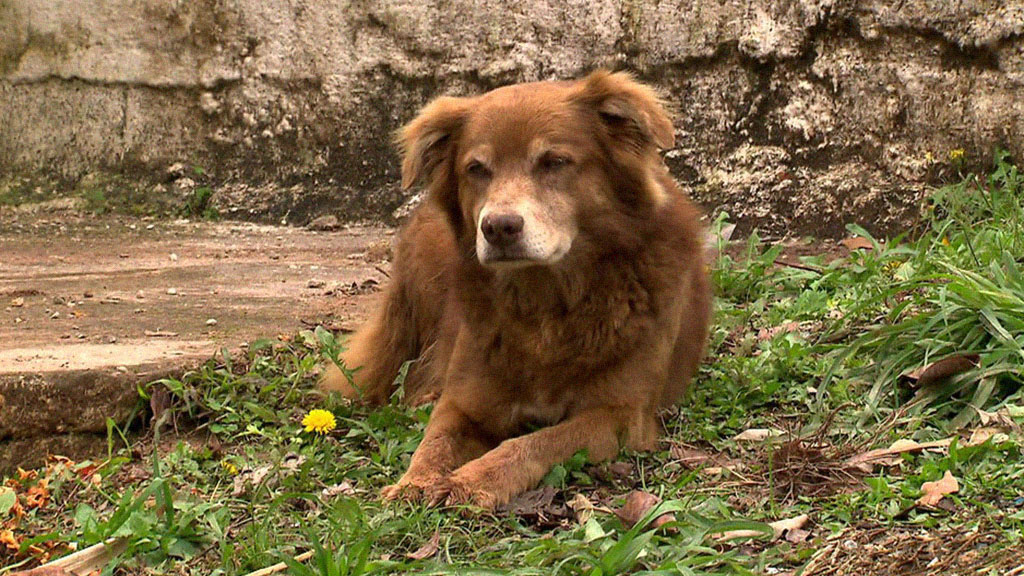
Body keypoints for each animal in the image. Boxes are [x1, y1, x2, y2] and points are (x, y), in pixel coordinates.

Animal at [321, 68, 712, 506]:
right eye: (476, 169)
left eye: (554, 162)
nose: (497, 227)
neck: (546, 301)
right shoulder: (466, 398)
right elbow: (435, 440)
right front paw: (416, 482)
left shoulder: (619, 415)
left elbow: (535, 443)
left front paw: (473, 480)